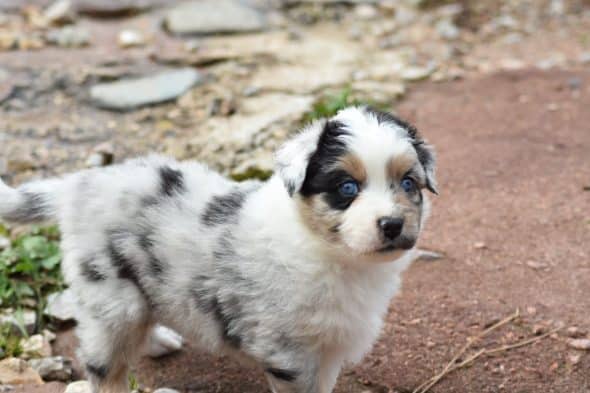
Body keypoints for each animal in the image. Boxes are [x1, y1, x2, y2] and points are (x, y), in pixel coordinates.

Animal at [0, 106, 440, 392]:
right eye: (347, 187)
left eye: (408, 183)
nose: (393, 224)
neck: (333, 255)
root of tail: (78, 184)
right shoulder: (288, 355)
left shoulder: (329, 347)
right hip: (110, 295)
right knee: (105, 366)